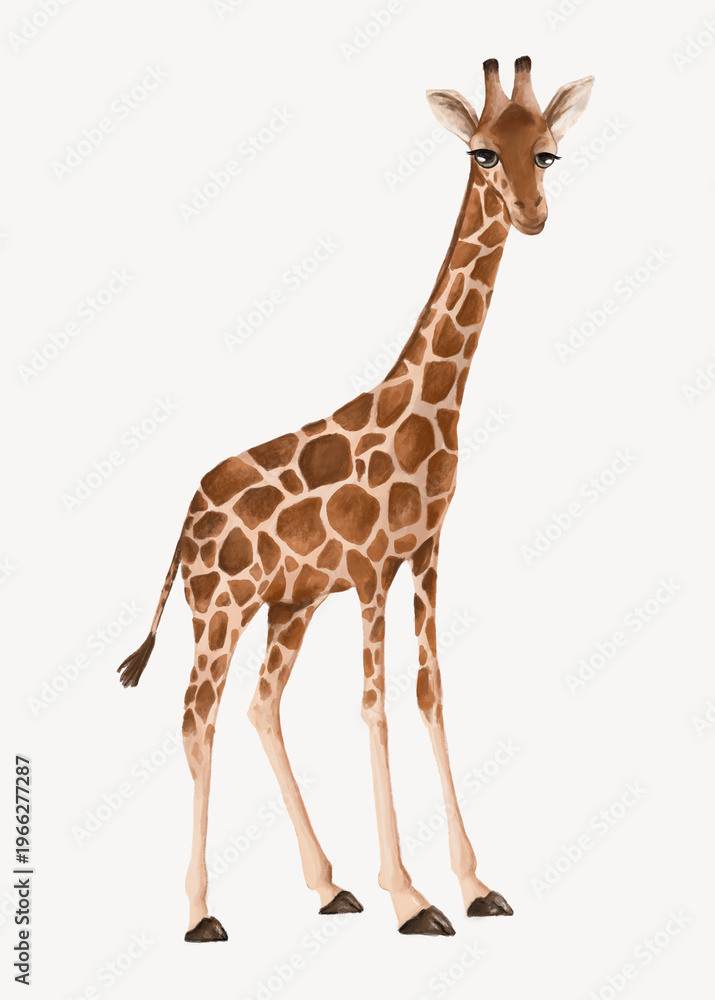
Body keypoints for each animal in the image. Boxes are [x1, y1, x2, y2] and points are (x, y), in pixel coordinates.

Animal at [118, 56, 593, 941]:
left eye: (545, 152)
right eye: (480, 152)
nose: (531, 214)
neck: (426, 411)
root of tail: (186, 520)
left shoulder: (425, 553)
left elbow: (429, 694)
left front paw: (472, 886)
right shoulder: (373, 569)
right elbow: (373, 708)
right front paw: (411, 898)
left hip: (288, 603)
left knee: (260, 705)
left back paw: (328, 887)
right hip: (217, 606)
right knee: (197, 713)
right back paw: (203, 913)